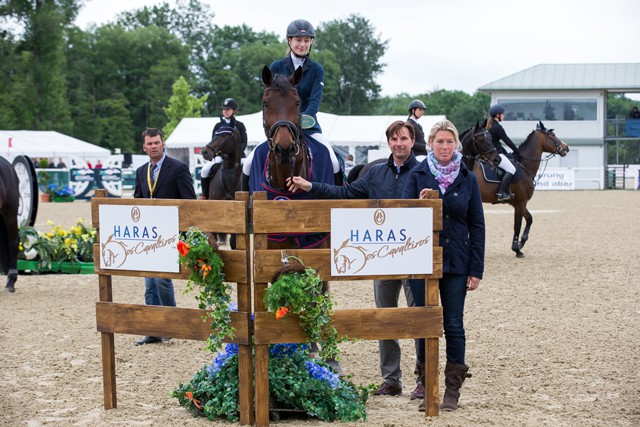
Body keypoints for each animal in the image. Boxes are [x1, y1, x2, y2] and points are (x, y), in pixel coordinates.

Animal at [464, 122, 568, 260]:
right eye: (552, 135)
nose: (566, 147)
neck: (524, 165)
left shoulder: (518, 203)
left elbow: (530, 219)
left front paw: (521, 242)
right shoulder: (520, 203)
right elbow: (517, 225)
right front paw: (517, 249)